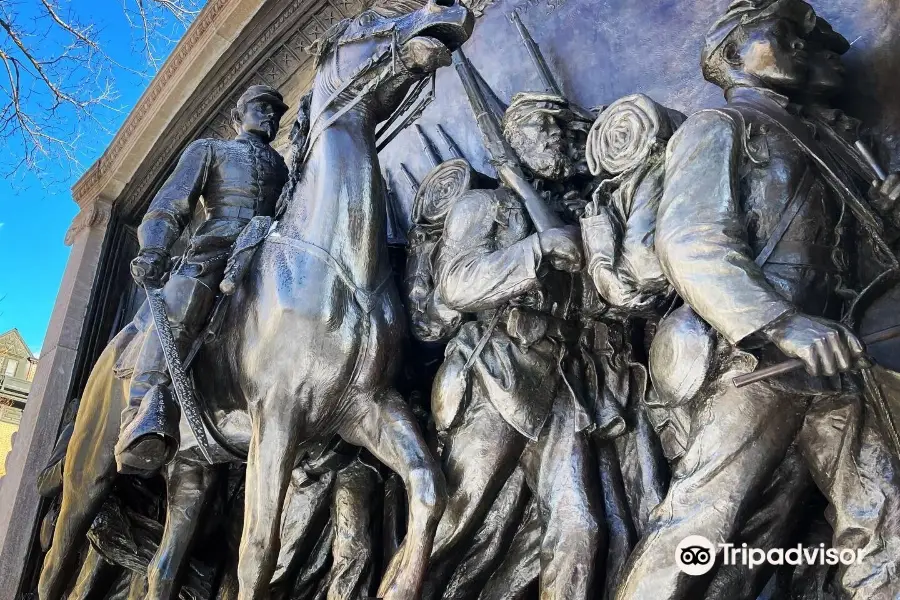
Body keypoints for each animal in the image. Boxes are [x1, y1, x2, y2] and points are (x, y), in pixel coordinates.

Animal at [38, 2, 474, 596]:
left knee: (161, 567)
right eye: (372, 18)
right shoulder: (278, 415)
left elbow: (429, 485)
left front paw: (401, 584)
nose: (446, 9)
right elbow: (258, 551)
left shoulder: (370, 406)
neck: (337, 262)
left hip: (191, 469)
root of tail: (105, 363)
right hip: (89, 474)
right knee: (57, 562)